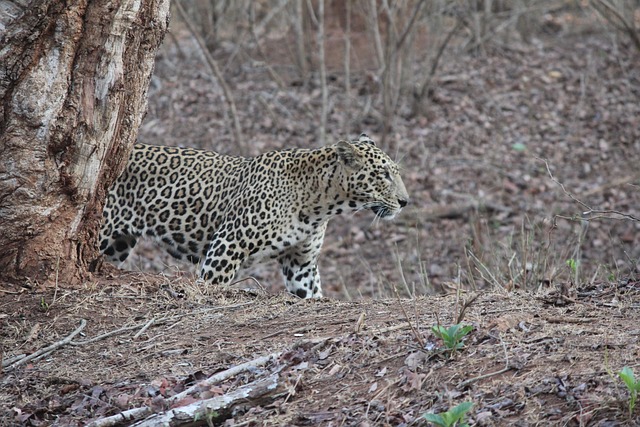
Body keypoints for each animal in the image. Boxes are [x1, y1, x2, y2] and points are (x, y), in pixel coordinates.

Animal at [100, 133, 410, 298]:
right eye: (383, 175)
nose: (405, 201)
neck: (320, 205)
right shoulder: (226, 247)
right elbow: (210, 286)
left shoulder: (301, 264)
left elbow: (311, 293)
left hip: (117, 245)